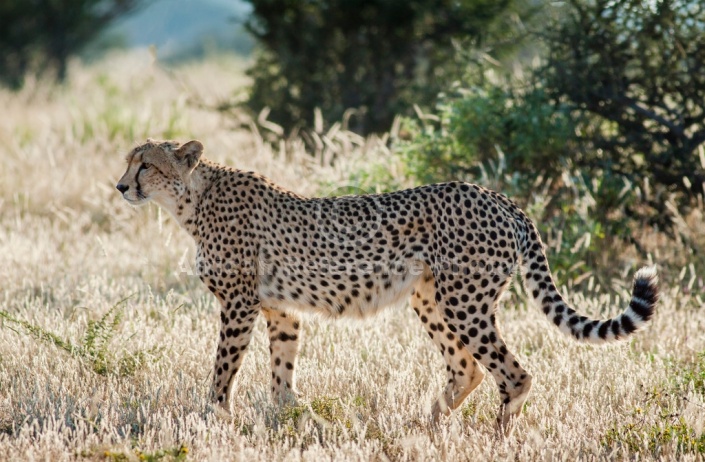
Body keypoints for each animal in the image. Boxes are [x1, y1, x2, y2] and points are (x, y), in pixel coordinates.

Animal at [117, 139, 660, 432]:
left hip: (465, 301)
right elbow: (281, 373)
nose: (121, 186)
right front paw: (292, 420)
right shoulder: (280, 310)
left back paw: (496, 439)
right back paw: (428, 428)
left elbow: (222, 370)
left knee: (513, 373)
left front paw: (213, 418)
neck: (191, 200)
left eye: (146, 164)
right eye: (128, 161)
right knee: (467, 369)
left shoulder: (238, 303)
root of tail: (498, 196)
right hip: (431, 299)